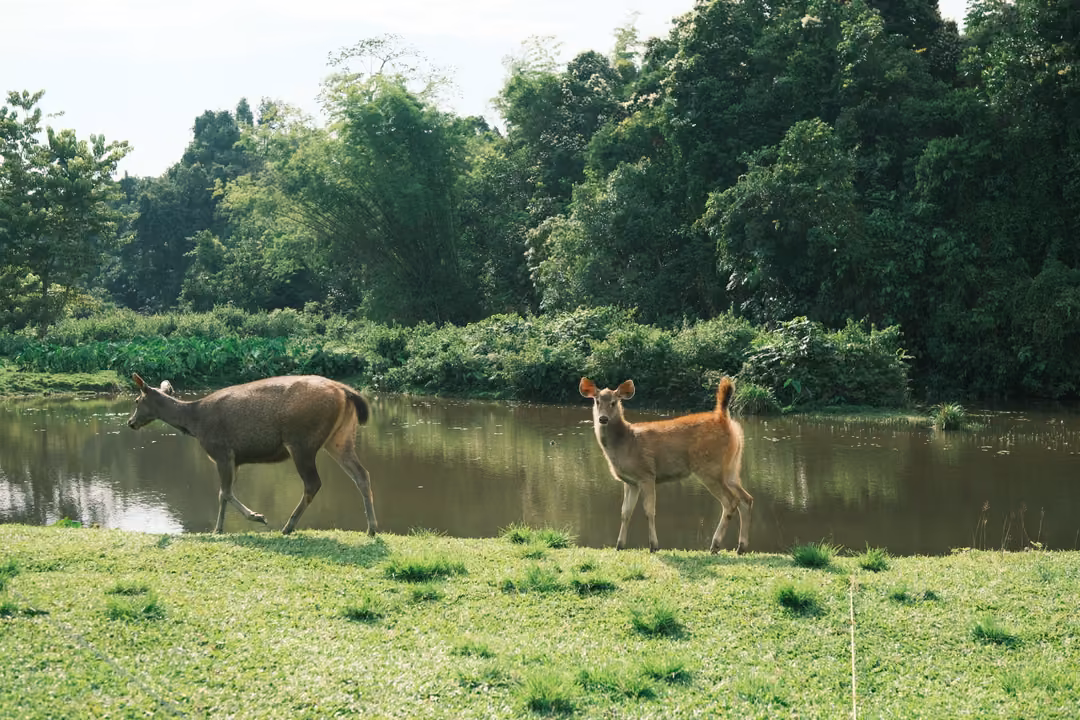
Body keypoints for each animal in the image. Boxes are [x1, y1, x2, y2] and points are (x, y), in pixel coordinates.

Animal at [127, 373, 377, 536]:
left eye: (137, 400)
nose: (130, 422)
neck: (195, 423)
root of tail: (346, 392)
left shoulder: (222, 451)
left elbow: (225, 492)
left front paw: (254, 518)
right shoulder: (236, 459)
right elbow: (223, 493)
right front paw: (220, 529)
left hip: (301, 440)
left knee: (313, 483)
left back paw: (288, 526)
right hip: (340, 438)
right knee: (362, 474)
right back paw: (372, 528)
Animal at [579, 376, 752, 554]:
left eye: (614, 402)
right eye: (597, 401)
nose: (603, 419)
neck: (625, 443)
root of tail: (724, 419)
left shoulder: (647, 474)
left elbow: (649, 511)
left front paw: (654, 546)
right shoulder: (630, 482)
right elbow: (625, 512)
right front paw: (619, 545)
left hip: (710, 468)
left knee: (730, 501)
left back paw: (715, 545)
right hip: (731, 468)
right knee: (746, 499)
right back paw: (741, 547)